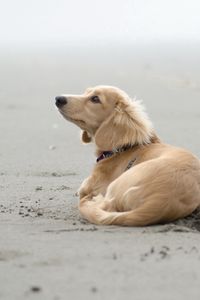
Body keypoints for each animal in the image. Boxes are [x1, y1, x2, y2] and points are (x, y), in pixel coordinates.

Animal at [55, 85, 200, 226]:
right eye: (86, 92)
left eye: (95, 99)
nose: (58, 98)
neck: (122, 148)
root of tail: (159, 202)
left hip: (116, 185)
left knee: (107, 205)